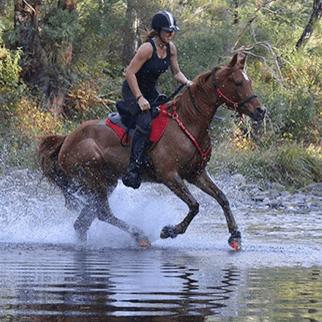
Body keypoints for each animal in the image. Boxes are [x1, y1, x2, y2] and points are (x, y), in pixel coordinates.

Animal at [37, 54, 266, 249]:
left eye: (249, 82)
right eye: (238, 82)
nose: (260, 110)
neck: (190, 122)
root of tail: (67, 139)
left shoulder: (196, 174)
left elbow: (222, 198)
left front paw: (235, 236)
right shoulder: (169, 175)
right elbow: (194, 205)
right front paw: (169, 231)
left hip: (105, 181)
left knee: (85, 220)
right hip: (93, 177)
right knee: (103, 213)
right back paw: (140, 235)